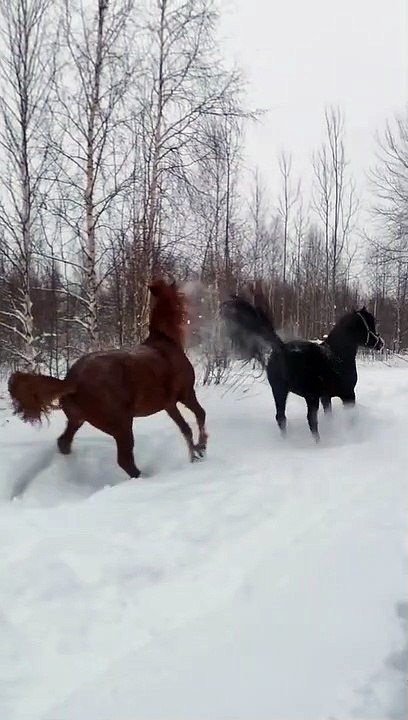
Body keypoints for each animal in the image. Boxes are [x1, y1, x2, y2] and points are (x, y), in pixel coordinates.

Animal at [8, 278, 208, 479]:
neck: (165, 343)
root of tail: (72, 381)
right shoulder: (185, 394)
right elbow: (198, 417)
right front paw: (201, 448)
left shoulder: (169, 405)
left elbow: (186, 428)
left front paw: (197, 452)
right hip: (122, 426)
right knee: (125, 460)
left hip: (77, 420)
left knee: (64, 442)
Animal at [221, 295, 384, 441]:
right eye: (369, 325)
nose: (381, 343)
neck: (336, 356)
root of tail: (281, 348)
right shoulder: (348, 394)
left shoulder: (325, 397)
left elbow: (329, 414)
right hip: (308, 397)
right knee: (310, 421)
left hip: (280, 391)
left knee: (281, 417)